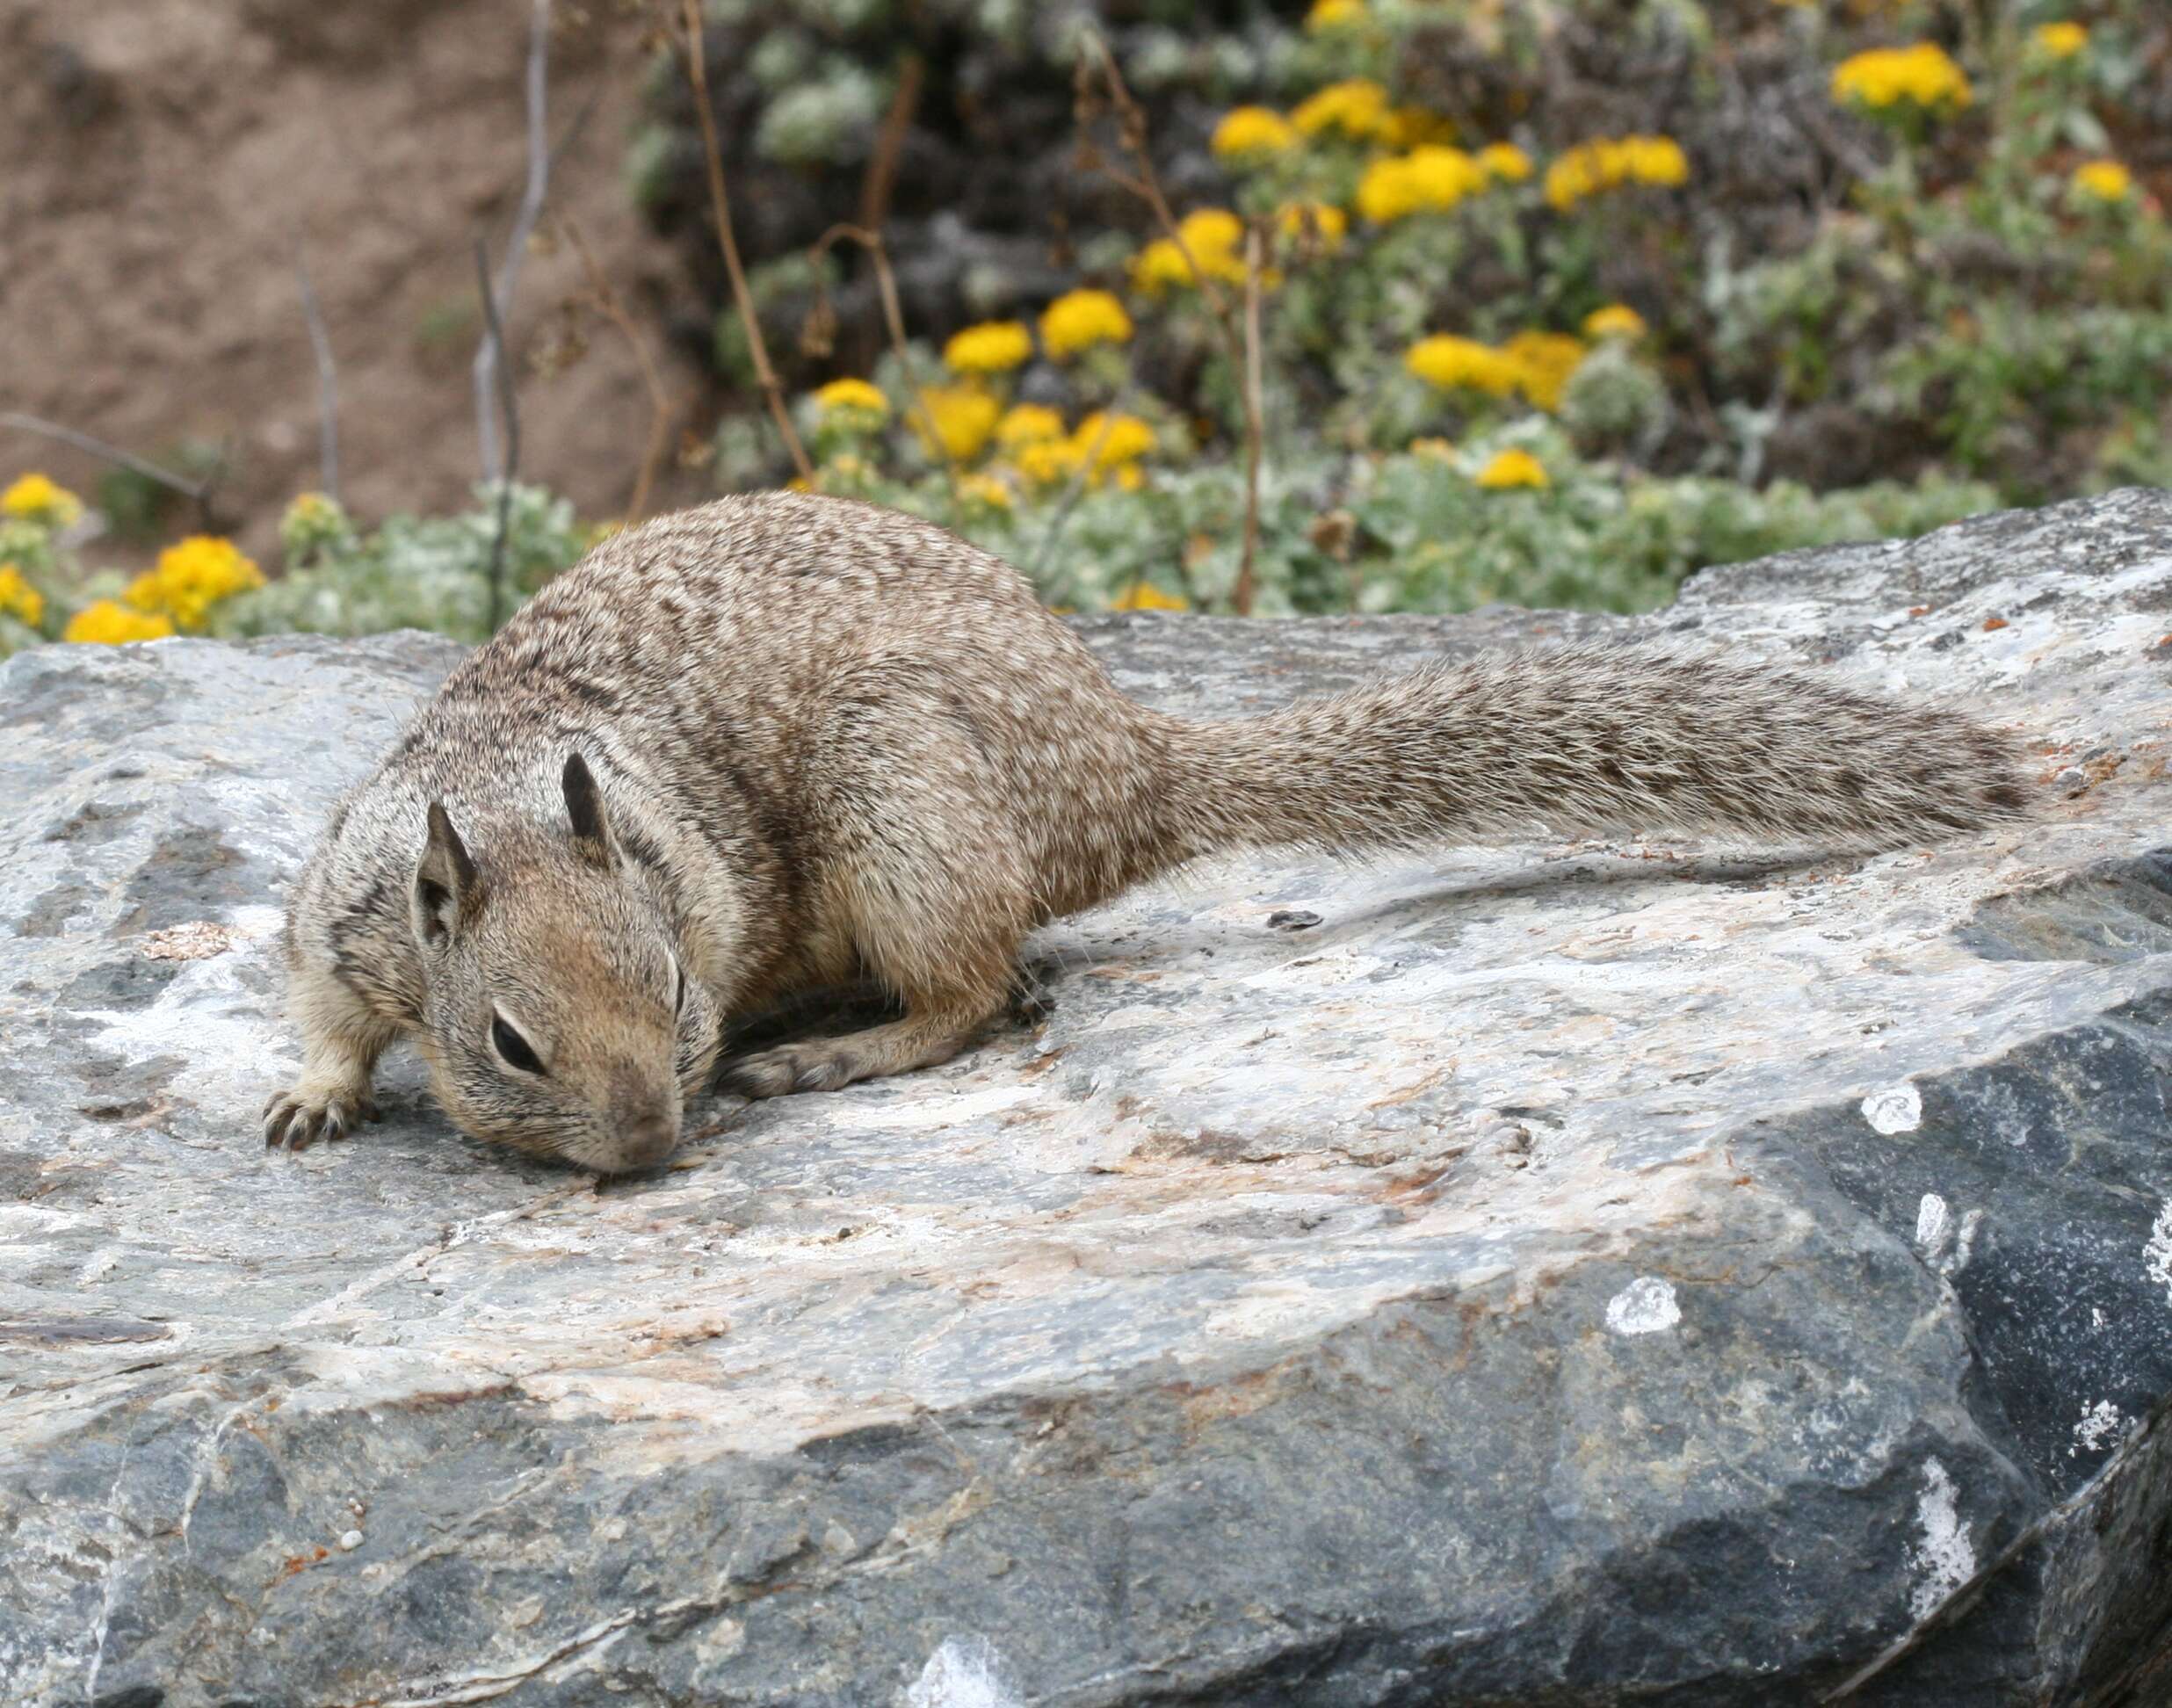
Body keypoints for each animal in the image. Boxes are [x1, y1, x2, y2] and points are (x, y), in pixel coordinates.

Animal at [263, 487, 2024, 1164]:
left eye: (681, 994)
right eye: (513, 1043)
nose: (646, 1143)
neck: (508, 793)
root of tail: (1132, 769)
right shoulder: (346, 901)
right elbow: (327, 1007)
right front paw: (311, 1099)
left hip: (905, 805)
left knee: (979, 990)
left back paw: (841, 1049)